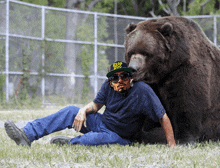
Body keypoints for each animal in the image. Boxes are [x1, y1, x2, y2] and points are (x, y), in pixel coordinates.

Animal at [124, 16, 220, 144]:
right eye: (130, 52)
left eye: (146, 53)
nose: (133, 68)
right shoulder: (153, 83)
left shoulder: (185, 72)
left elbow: (186, 105)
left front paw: (183, 138)